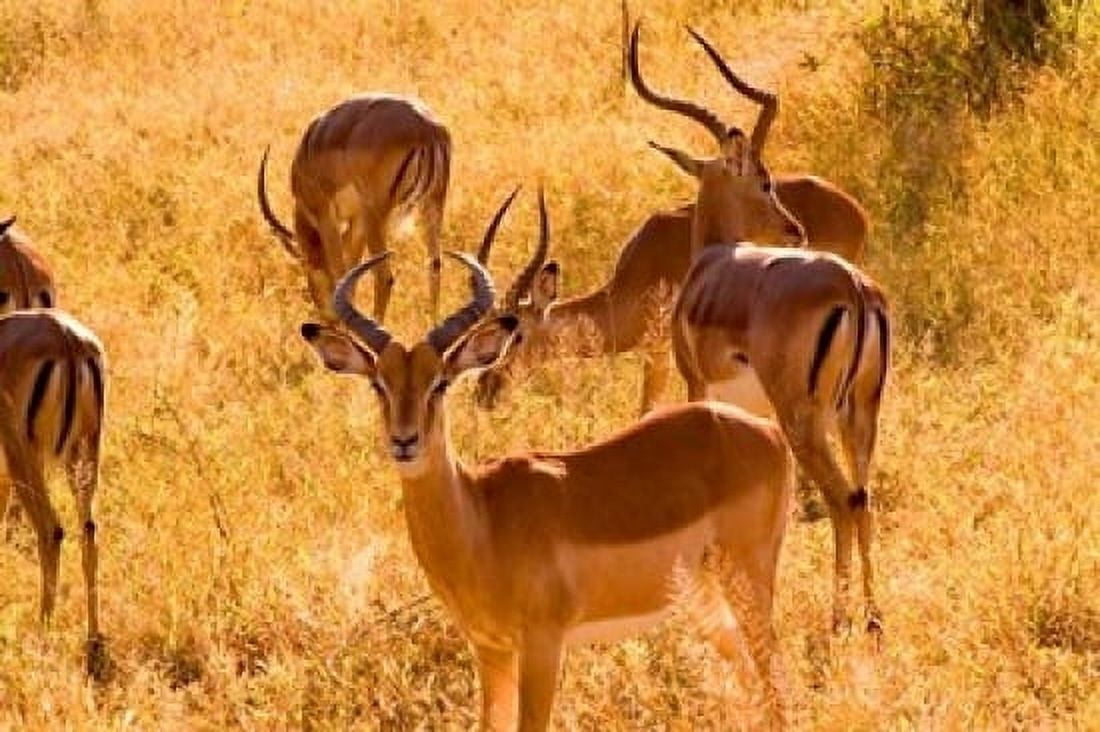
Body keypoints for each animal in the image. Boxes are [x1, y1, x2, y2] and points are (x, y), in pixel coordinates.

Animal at [0, 309, 107, 674]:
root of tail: (66, 339)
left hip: (25, 455)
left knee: (51, 531)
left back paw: (42, 635)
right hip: (85, 452)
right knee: (89, 531)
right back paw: (93, 642)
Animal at [257, 93, 451, 322]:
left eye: (306, 267)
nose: (324, 315)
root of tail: (425, 128)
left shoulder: (326, 216)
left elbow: (341, 273)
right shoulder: (357, 222)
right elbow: (353, 273)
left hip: (376, 215)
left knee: (384, 276)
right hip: (433, 202)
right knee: (435, 265)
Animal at [301, 192, 796, 730]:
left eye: (441, 382)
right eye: (379, 383)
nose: (405, 441)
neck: (482, 521)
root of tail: (768, 434)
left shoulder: (543, 644)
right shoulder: (490, 649)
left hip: (749, 579)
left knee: (775, 679)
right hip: (708, 600)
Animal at [629, 24, 890, 634]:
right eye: (766, 181)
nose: (793, 228)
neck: (714, 259)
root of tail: (854, 289)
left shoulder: (698, 388)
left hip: (806, 417)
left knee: (842, 500)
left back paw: (837, 621)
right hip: (859, 413)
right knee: (864, 497)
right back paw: (872, 620)